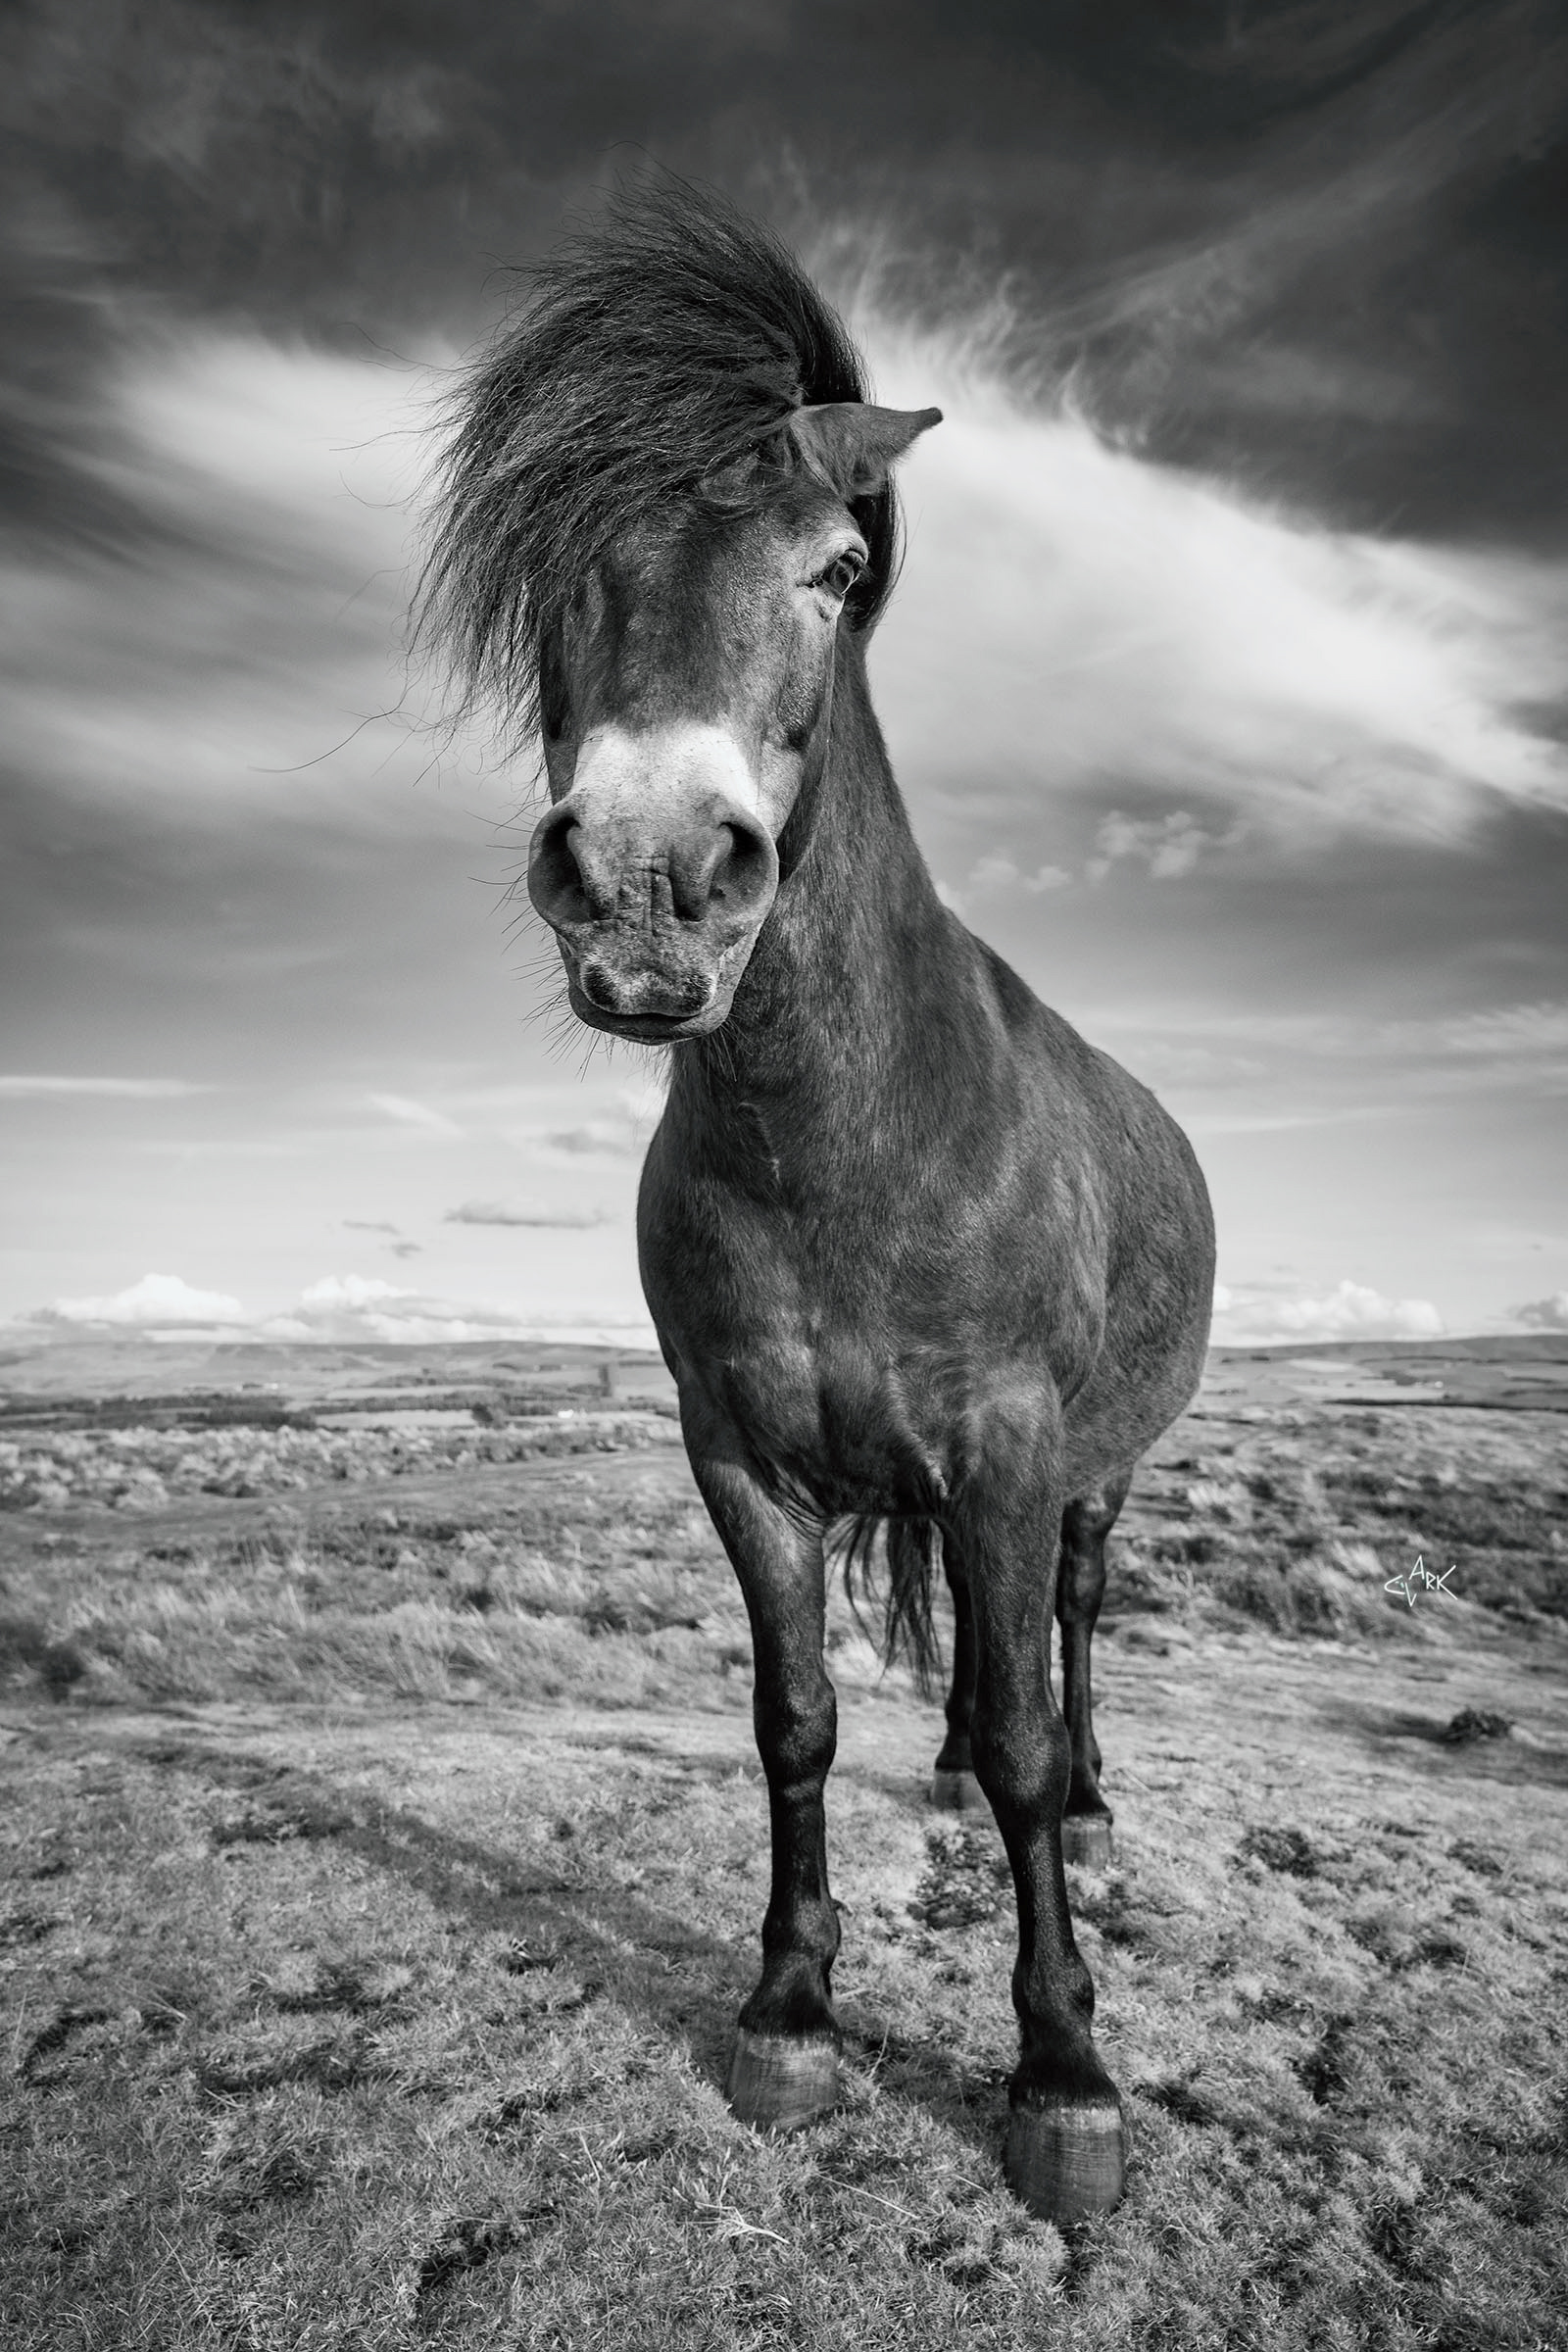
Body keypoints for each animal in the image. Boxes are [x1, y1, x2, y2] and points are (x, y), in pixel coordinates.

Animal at [418, 181, 1215, 2229]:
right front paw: (789, 2006)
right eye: (554, 575)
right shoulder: (743, 1460)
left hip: (1091, 1482)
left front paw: (1063, 2074)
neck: (852, 1136)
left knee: (1063, 1639)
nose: (645, 884)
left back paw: (1102, 1801)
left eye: (839, 567)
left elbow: (1021, 1735)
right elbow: (794, 1721)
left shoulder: (1011, 1452)